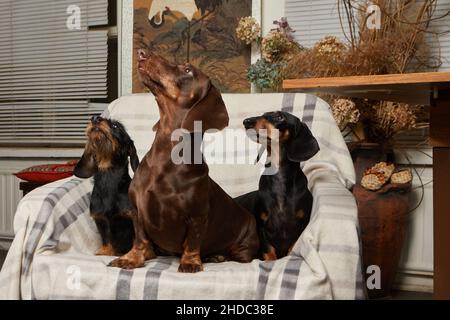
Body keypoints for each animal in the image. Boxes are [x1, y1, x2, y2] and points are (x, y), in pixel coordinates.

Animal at [74, 116, 139, 256]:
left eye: (116, 126)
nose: (94, 118)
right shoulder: (101, 220)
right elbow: (106, 238)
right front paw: (104, 252)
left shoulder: (132, 218)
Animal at [107, 50, 258, 272]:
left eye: (188, 70)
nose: (142, 54)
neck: (166, 156)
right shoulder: (137, 210)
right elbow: (140, 239)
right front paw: (132, 258)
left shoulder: (197, 216)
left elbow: (193, 241)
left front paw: (190, 262)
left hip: (244, 242)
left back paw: (216, 256)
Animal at [236, 111, 320, 262]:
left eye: (279, 117)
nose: (246, 121)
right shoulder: (261, 226)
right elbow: (269, 250)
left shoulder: (301, 226)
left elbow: (292, 246)